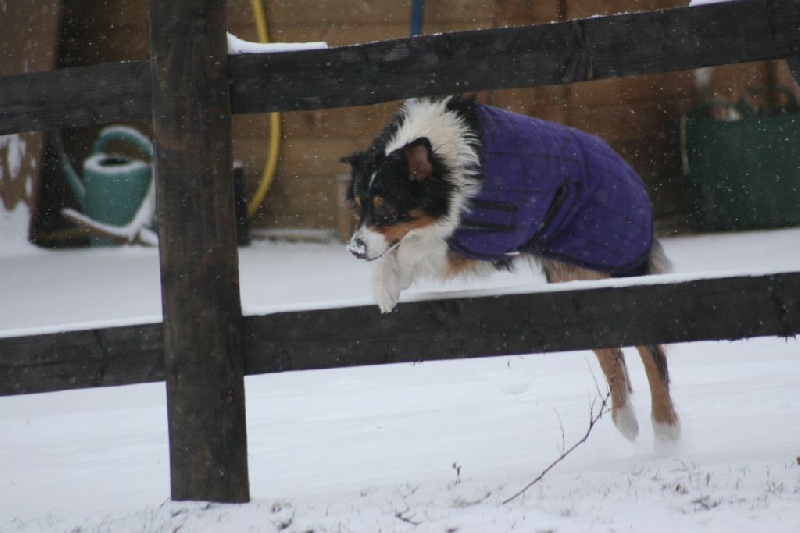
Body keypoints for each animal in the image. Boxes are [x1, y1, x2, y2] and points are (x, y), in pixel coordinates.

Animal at [340, 95, 680, 440]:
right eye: (359, 205)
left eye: (385, 206)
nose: (354, 249)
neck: (444, 166)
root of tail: (632, 174)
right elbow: (400, 247)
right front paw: (385, 284)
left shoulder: (492, 233)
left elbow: (417, 243)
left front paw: (394, 281)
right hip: (575, 278)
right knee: (608, 344)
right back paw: (626, 419)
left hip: (620, 270)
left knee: (653, 351)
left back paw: (666, 431)